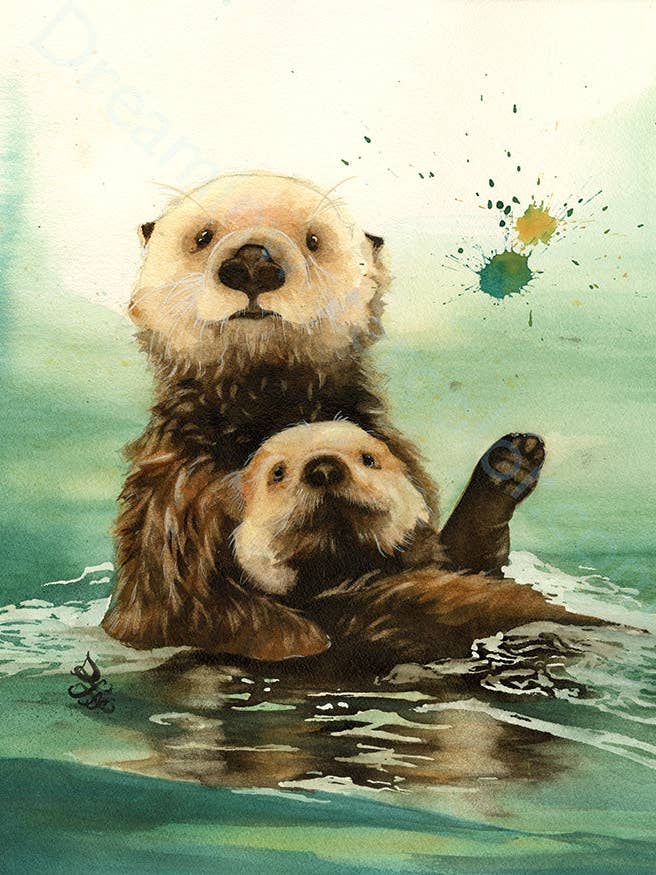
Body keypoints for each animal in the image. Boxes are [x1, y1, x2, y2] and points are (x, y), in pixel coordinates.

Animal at [102, 171, 547, 662]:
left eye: (313, 241)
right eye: (203, 237)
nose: (253, 262)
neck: (266, 405)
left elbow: (460, 558)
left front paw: (511, 460)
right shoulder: (169, 498)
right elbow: (188, 607)